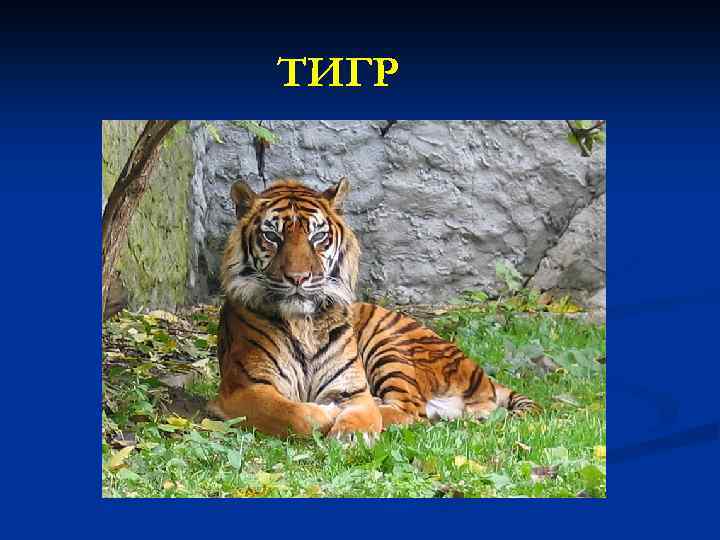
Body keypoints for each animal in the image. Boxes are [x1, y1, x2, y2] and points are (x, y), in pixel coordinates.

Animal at [208, 178, 538, 440]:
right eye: (272, 236)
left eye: (318, 237)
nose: (298, 278)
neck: (304, 323)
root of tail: (483, 375)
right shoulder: (244, 388)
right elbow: (294, 413)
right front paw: (327, 414)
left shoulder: (353, 390)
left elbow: (363, 413)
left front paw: (352, 433)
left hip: (389, 345)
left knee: (412, 409)